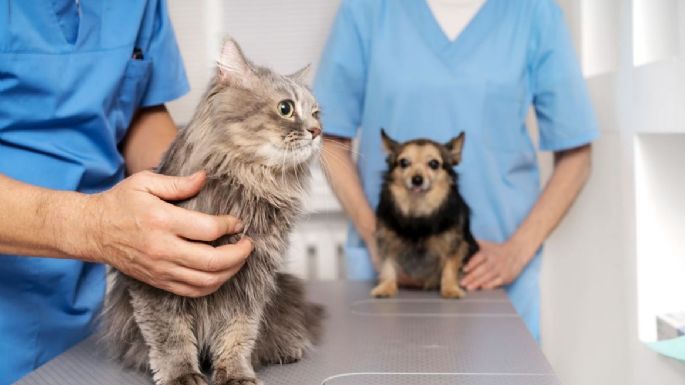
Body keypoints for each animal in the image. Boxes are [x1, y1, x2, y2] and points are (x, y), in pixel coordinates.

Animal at [101, 38, 324, 384]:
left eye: (316, 113)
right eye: (285, 108)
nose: (317, 131)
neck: (250, 183)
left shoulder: (251, 282)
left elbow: (238, 334)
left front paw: (236, 373)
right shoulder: (156, 282)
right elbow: (171, 337)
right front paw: (182, 375)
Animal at [372, 130, 478, 298]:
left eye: (433, 164)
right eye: (404, 162)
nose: (417, 179)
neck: (418, 208)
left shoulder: (455, 244)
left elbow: (450, 266)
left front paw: (450, 289)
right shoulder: (387, 240)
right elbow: (387, 265)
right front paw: (386, 287)